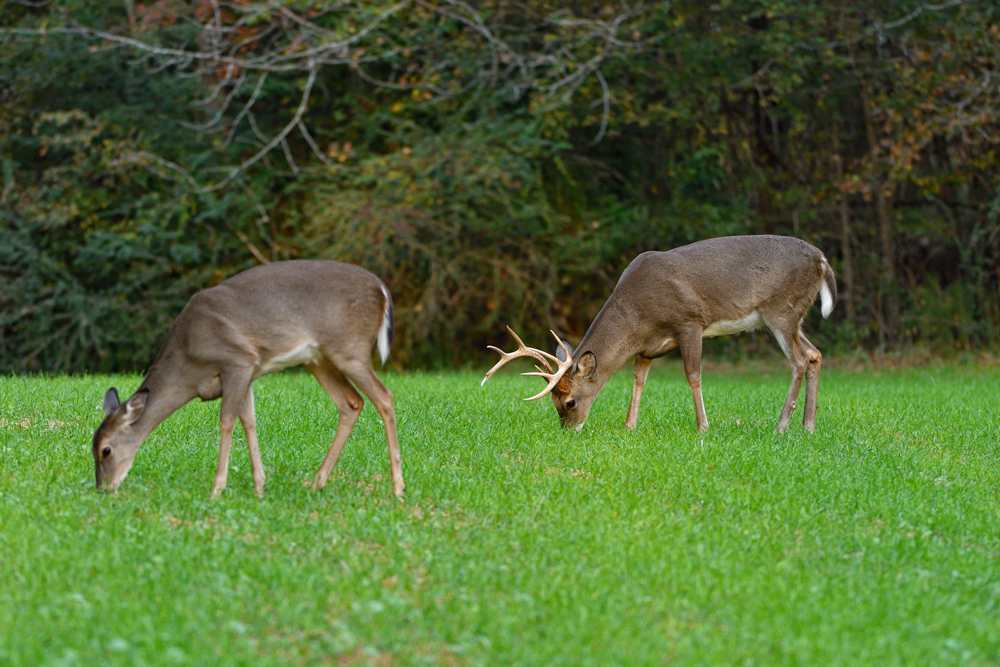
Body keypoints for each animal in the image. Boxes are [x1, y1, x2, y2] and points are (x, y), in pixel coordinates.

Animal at [92, 258, 404, 498]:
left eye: (106, 450)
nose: (103, 488)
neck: (189, 364)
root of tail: (382, 290)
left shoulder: (237, 361)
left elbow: (227, 421)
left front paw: (217, 488)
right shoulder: (247, 374)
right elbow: (249, 421)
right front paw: (259, 487)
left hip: (349, 347)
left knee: (385, 397)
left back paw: (397, 488)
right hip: (319, 359)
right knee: (351, 402)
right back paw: (317, 482)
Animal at [482, 235, 836, 434]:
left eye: (570, 402)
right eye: (554, 402)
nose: (568, 431)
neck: (640, 314)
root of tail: (822, 259)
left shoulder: (690, 321)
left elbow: (693, 375)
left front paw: (703, 428)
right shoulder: (648, 345)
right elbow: (639, 378)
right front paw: (629, 426)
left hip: (781, 309)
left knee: (799, 359)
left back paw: (781, 426)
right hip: (790, 315)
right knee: (815, 353)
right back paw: (808, 427)